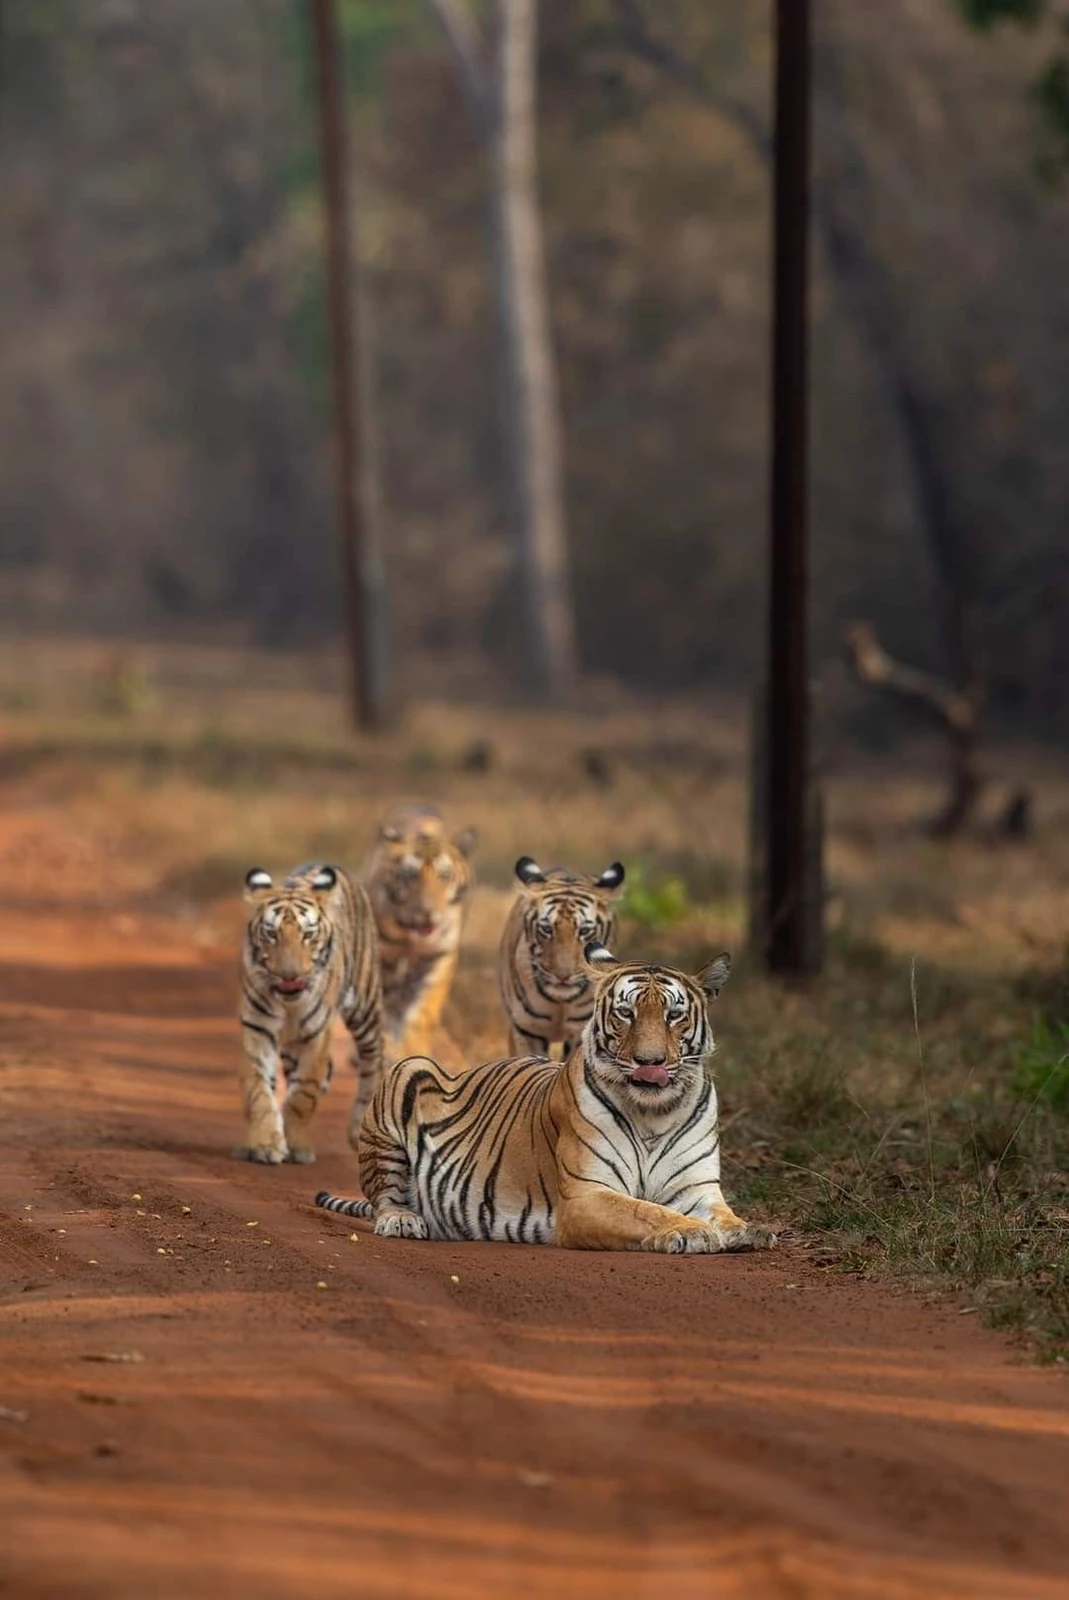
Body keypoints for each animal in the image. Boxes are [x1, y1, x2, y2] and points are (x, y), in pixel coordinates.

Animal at [237, 863, 383, 1165]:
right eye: (271, 934)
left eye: (308, 934)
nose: (289, 976)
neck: (289, 1004)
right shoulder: (257, 1030)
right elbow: (258, 1090)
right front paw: (265, 1144)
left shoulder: (316, 1038)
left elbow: (302, 1096)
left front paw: (296, 1146)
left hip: (364, 1007)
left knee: (375, 1056)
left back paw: (359, 1125)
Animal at [316, 940, 775, 1255]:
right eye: (625, 1013)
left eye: (674, 1015)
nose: (650, 1062)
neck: (654, 1113)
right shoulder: (588, 1196)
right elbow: (645, 1210)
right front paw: (692, 1231)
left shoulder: (698, 1189)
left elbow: (723, 1215)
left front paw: (750, 1229)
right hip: (405, 1071)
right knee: (384, 1198)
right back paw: (403, 1221)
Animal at [363, 804, 476, 1062]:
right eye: (409, 875)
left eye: (445, 875)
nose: (427, 912)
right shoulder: (382, 957)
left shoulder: (437, 957)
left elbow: (422, 1011)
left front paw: (411, 1049)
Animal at [498, 856, 625, 1058]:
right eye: (546, 929)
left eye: (584, 931)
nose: (563, 976)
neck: (560, 1003)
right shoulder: (527, 1030)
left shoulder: (580, 1032)